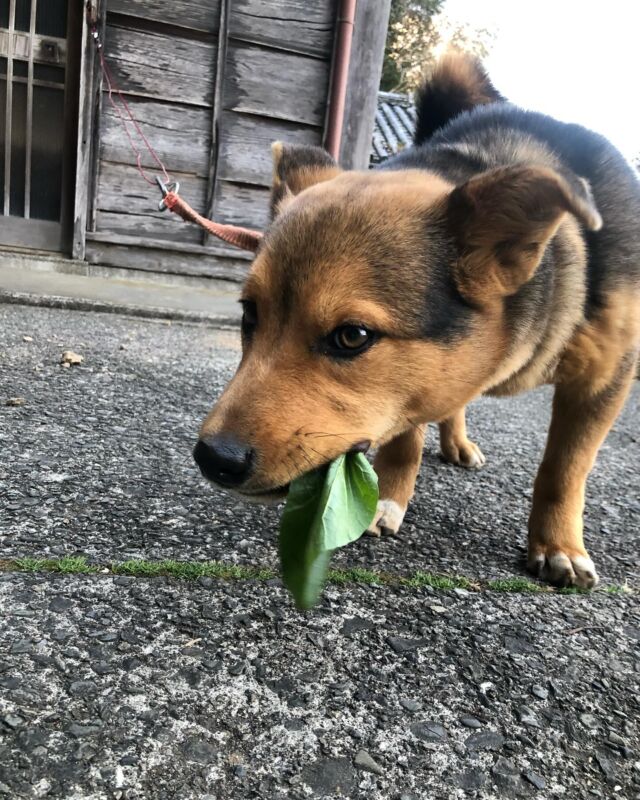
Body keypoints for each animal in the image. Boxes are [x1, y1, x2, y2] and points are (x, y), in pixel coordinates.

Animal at [195, 54, 640, 588]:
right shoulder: (409, 391)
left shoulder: (606, 376)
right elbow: (406, 434)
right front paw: (388, 499)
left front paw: (559, 548)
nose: (213, 458)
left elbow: (565, 468)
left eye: (352, 337)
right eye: (250, 314)